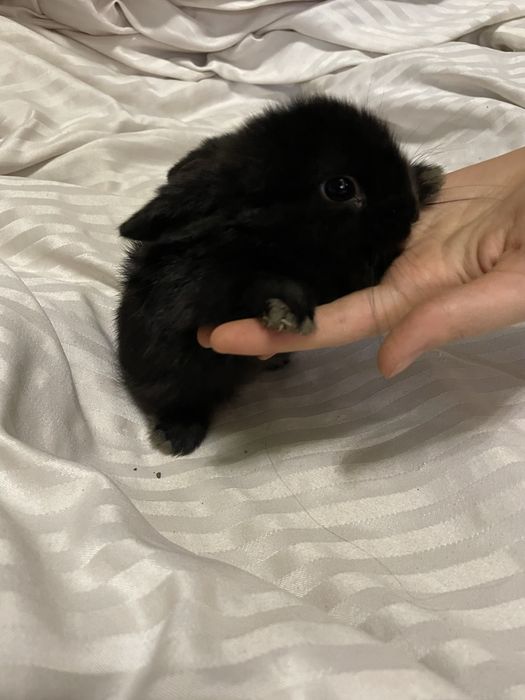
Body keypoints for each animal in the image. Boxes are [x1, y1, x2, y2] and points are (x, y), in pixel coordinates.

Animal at [116, 95, 443, 455]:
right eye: (340, 188)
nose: (410, 212)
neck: (273, 235)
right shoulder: (213, 289)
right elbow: (258, 285)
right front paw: (286, 311)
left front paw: (429, 177)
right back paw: (177, 434)